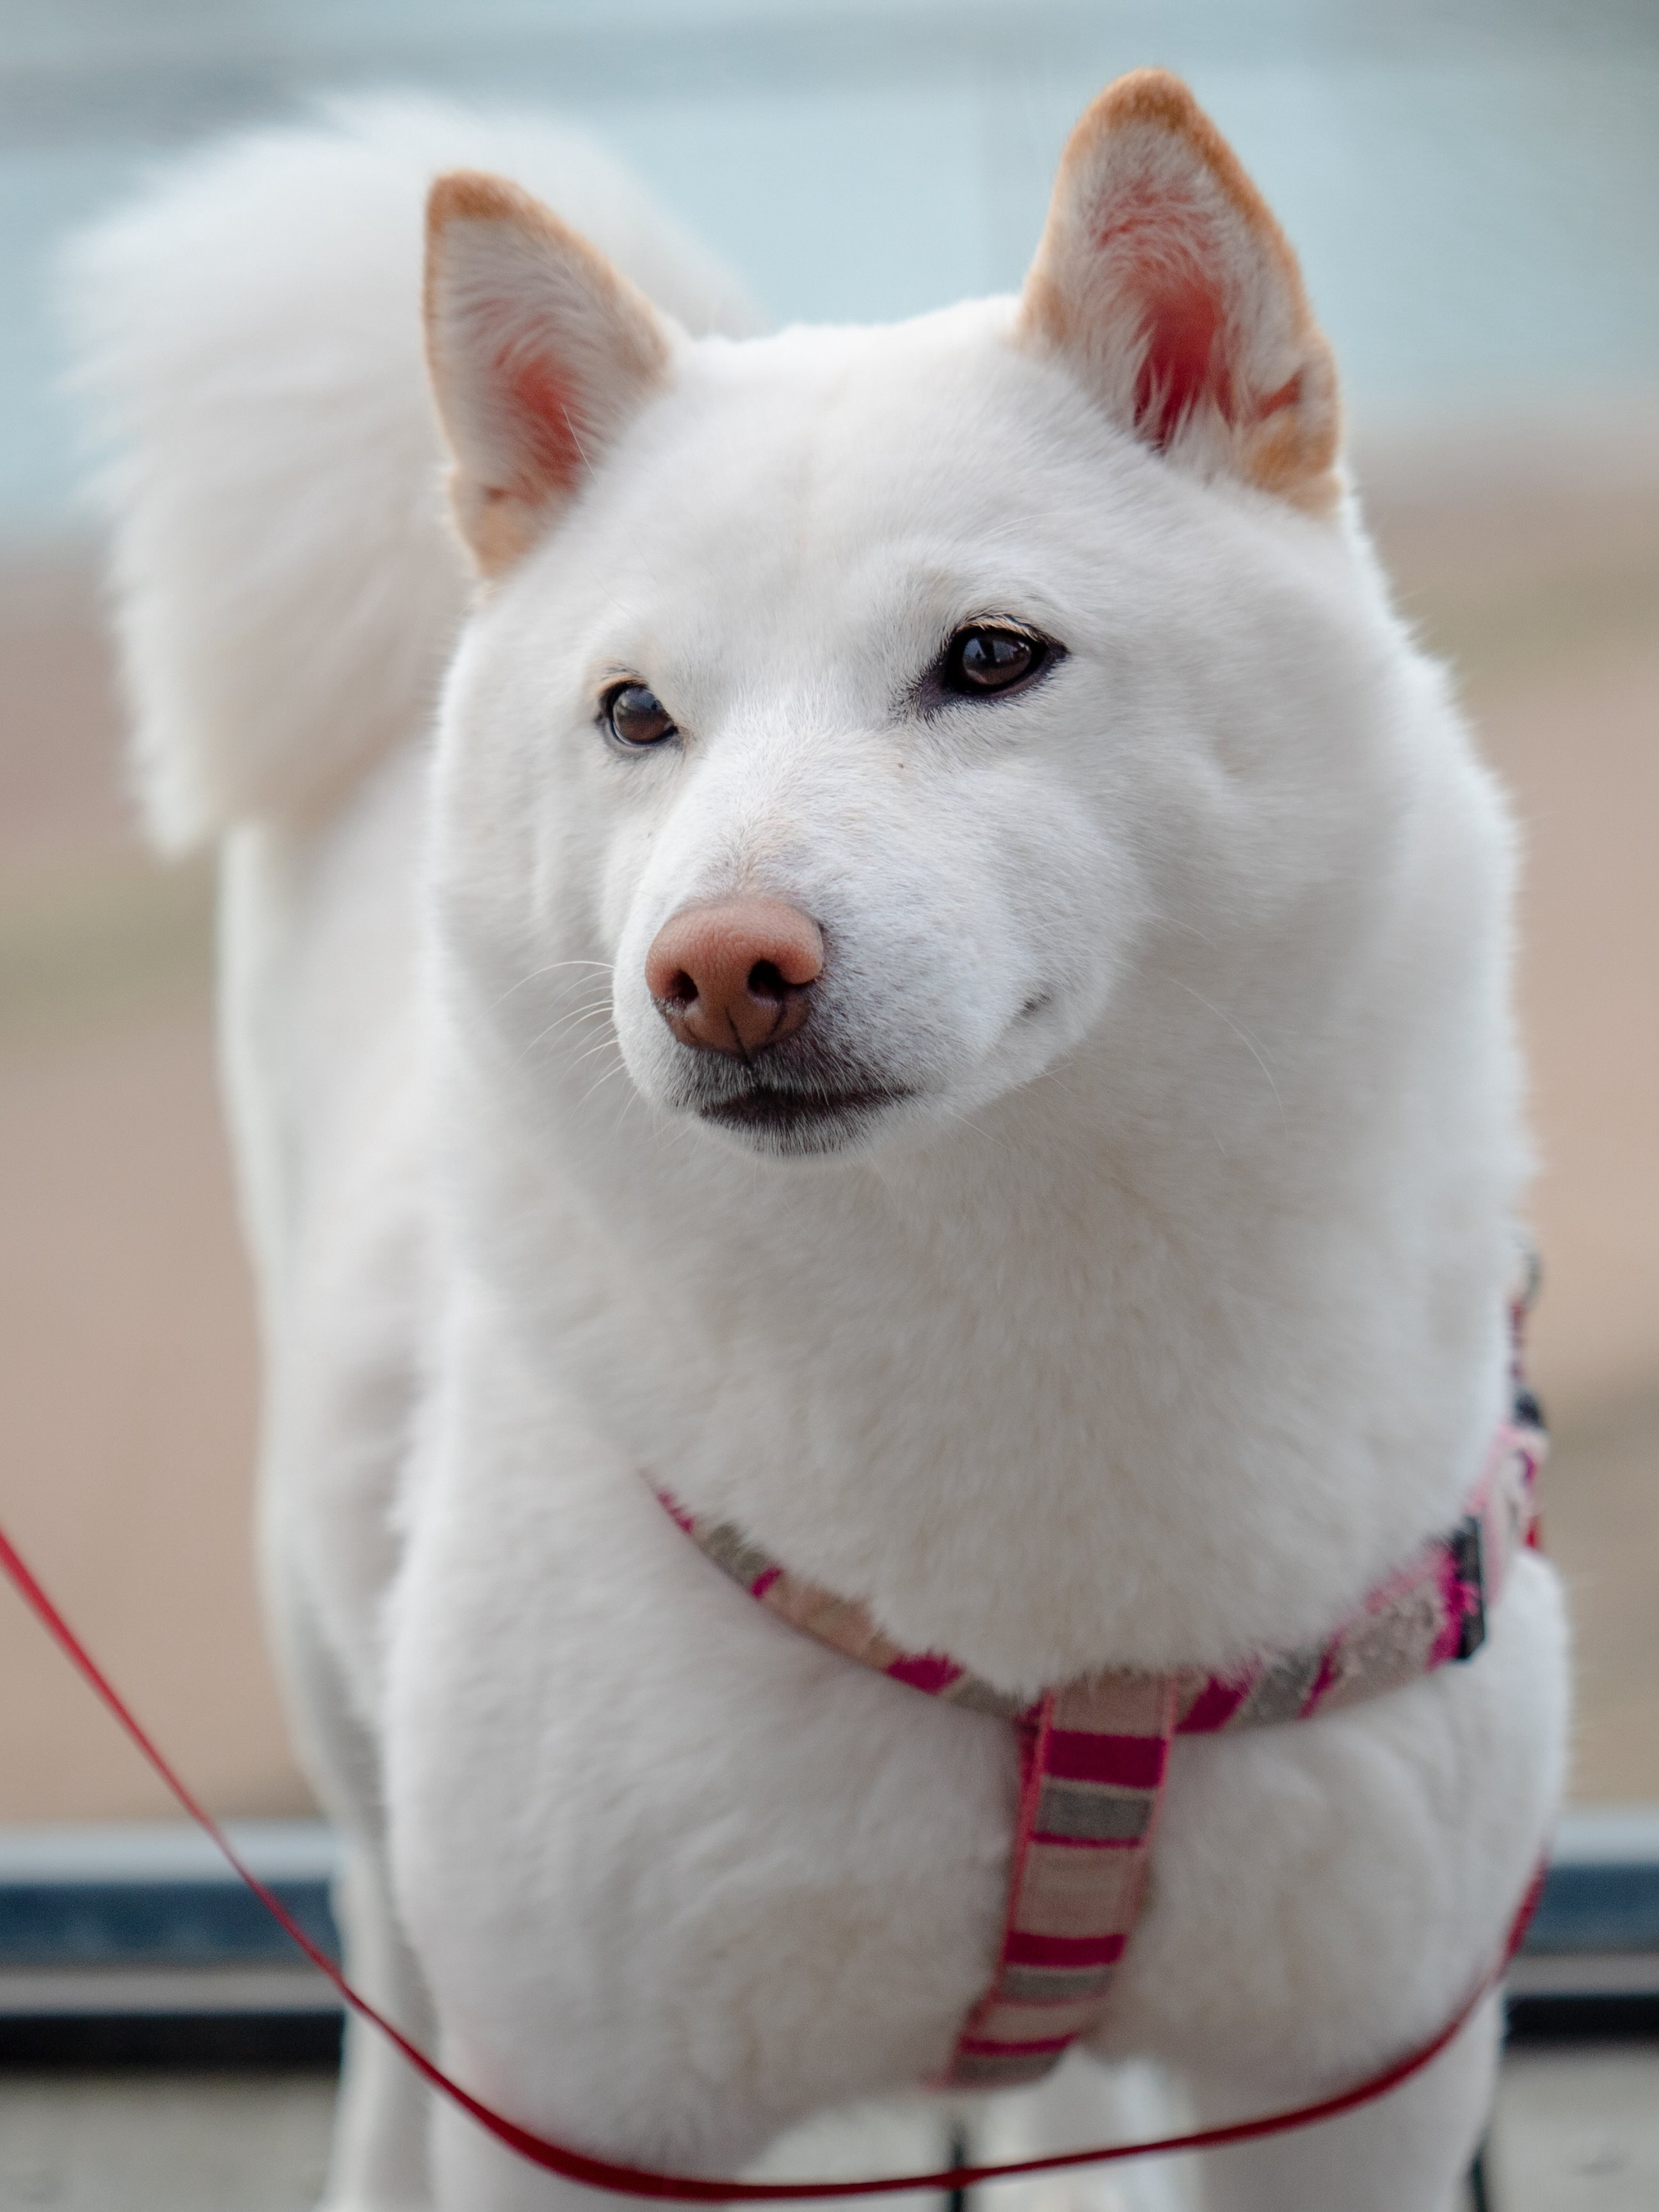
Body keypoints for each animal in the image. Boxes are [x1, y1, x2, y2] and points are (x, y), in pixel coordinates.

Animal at [68, 73, 1575, 2212]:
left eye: (993, 657)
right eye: (635, 715)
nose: (719, 970)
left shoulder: (1363, 2075)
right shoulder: (577, 2109)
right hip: (350, 1687)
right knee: (385, 1960)